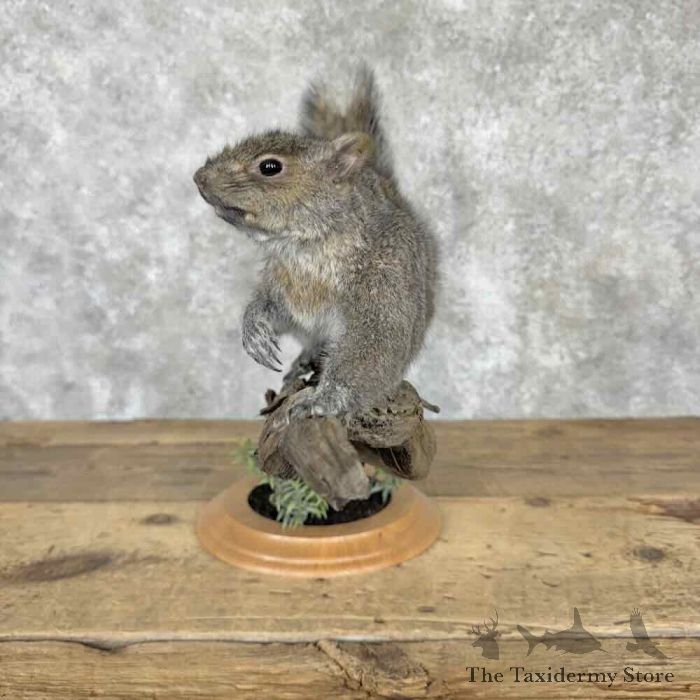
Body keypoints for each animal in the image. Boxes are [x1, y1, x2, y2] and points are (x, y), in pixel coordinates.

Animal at [193, 66, 438, 420]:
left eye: (270, 166)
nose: (199, 178)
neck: (305, 246)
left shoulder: (385, 285)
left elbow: (374, 347)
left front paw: (325, 400)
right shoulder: (283, 287)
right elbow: (271, 307)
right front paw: (254, 331)